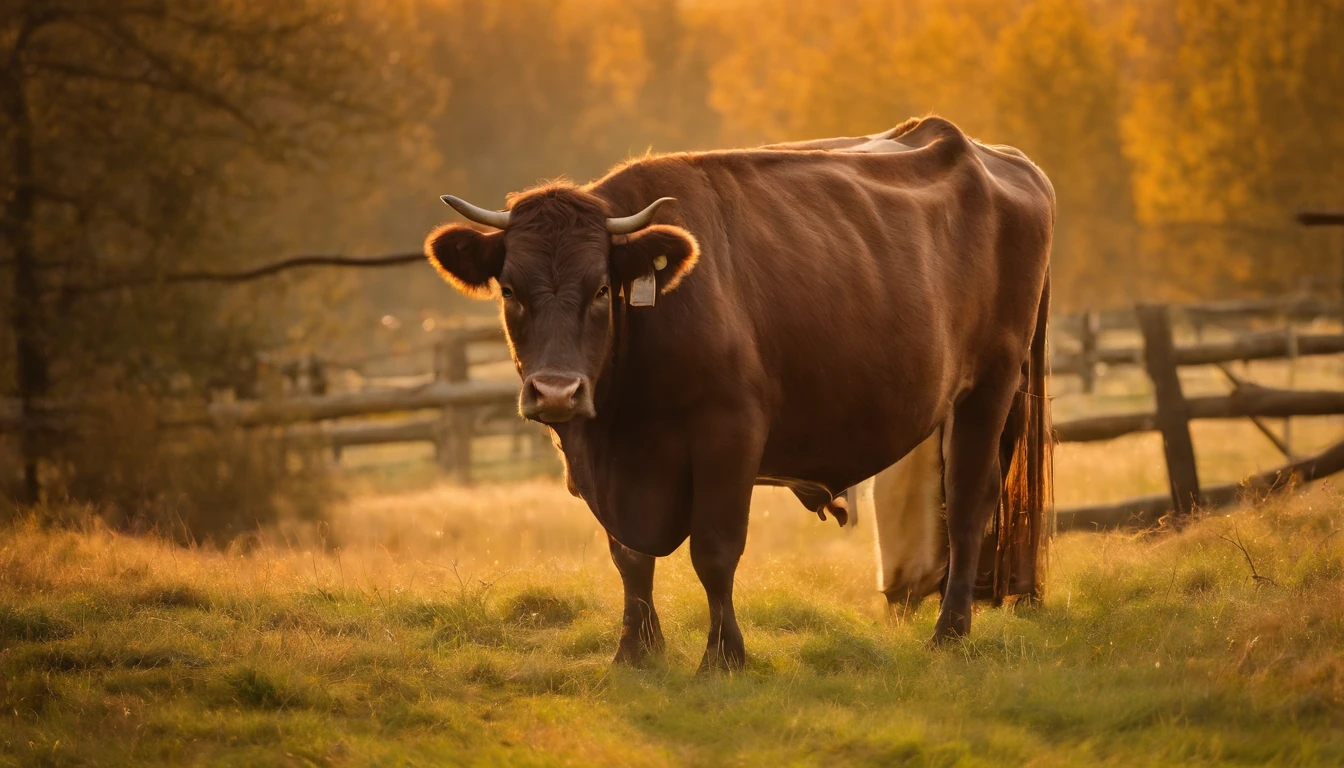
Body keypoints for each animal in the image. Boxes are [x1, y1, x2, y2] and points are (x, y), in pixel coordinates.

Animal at [424, 117, 1053, 669]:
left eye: (602, 288)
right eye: (510, 290)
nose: (556, 391)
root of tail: (998, 157)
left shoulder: (730, 434)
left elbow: (715, 551)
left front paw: (723, 657)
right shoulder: (602, 466)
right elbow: (629, 557)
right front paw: (635, 651)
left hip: (990, 386)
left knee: (968, 504)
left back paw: (950, 632)